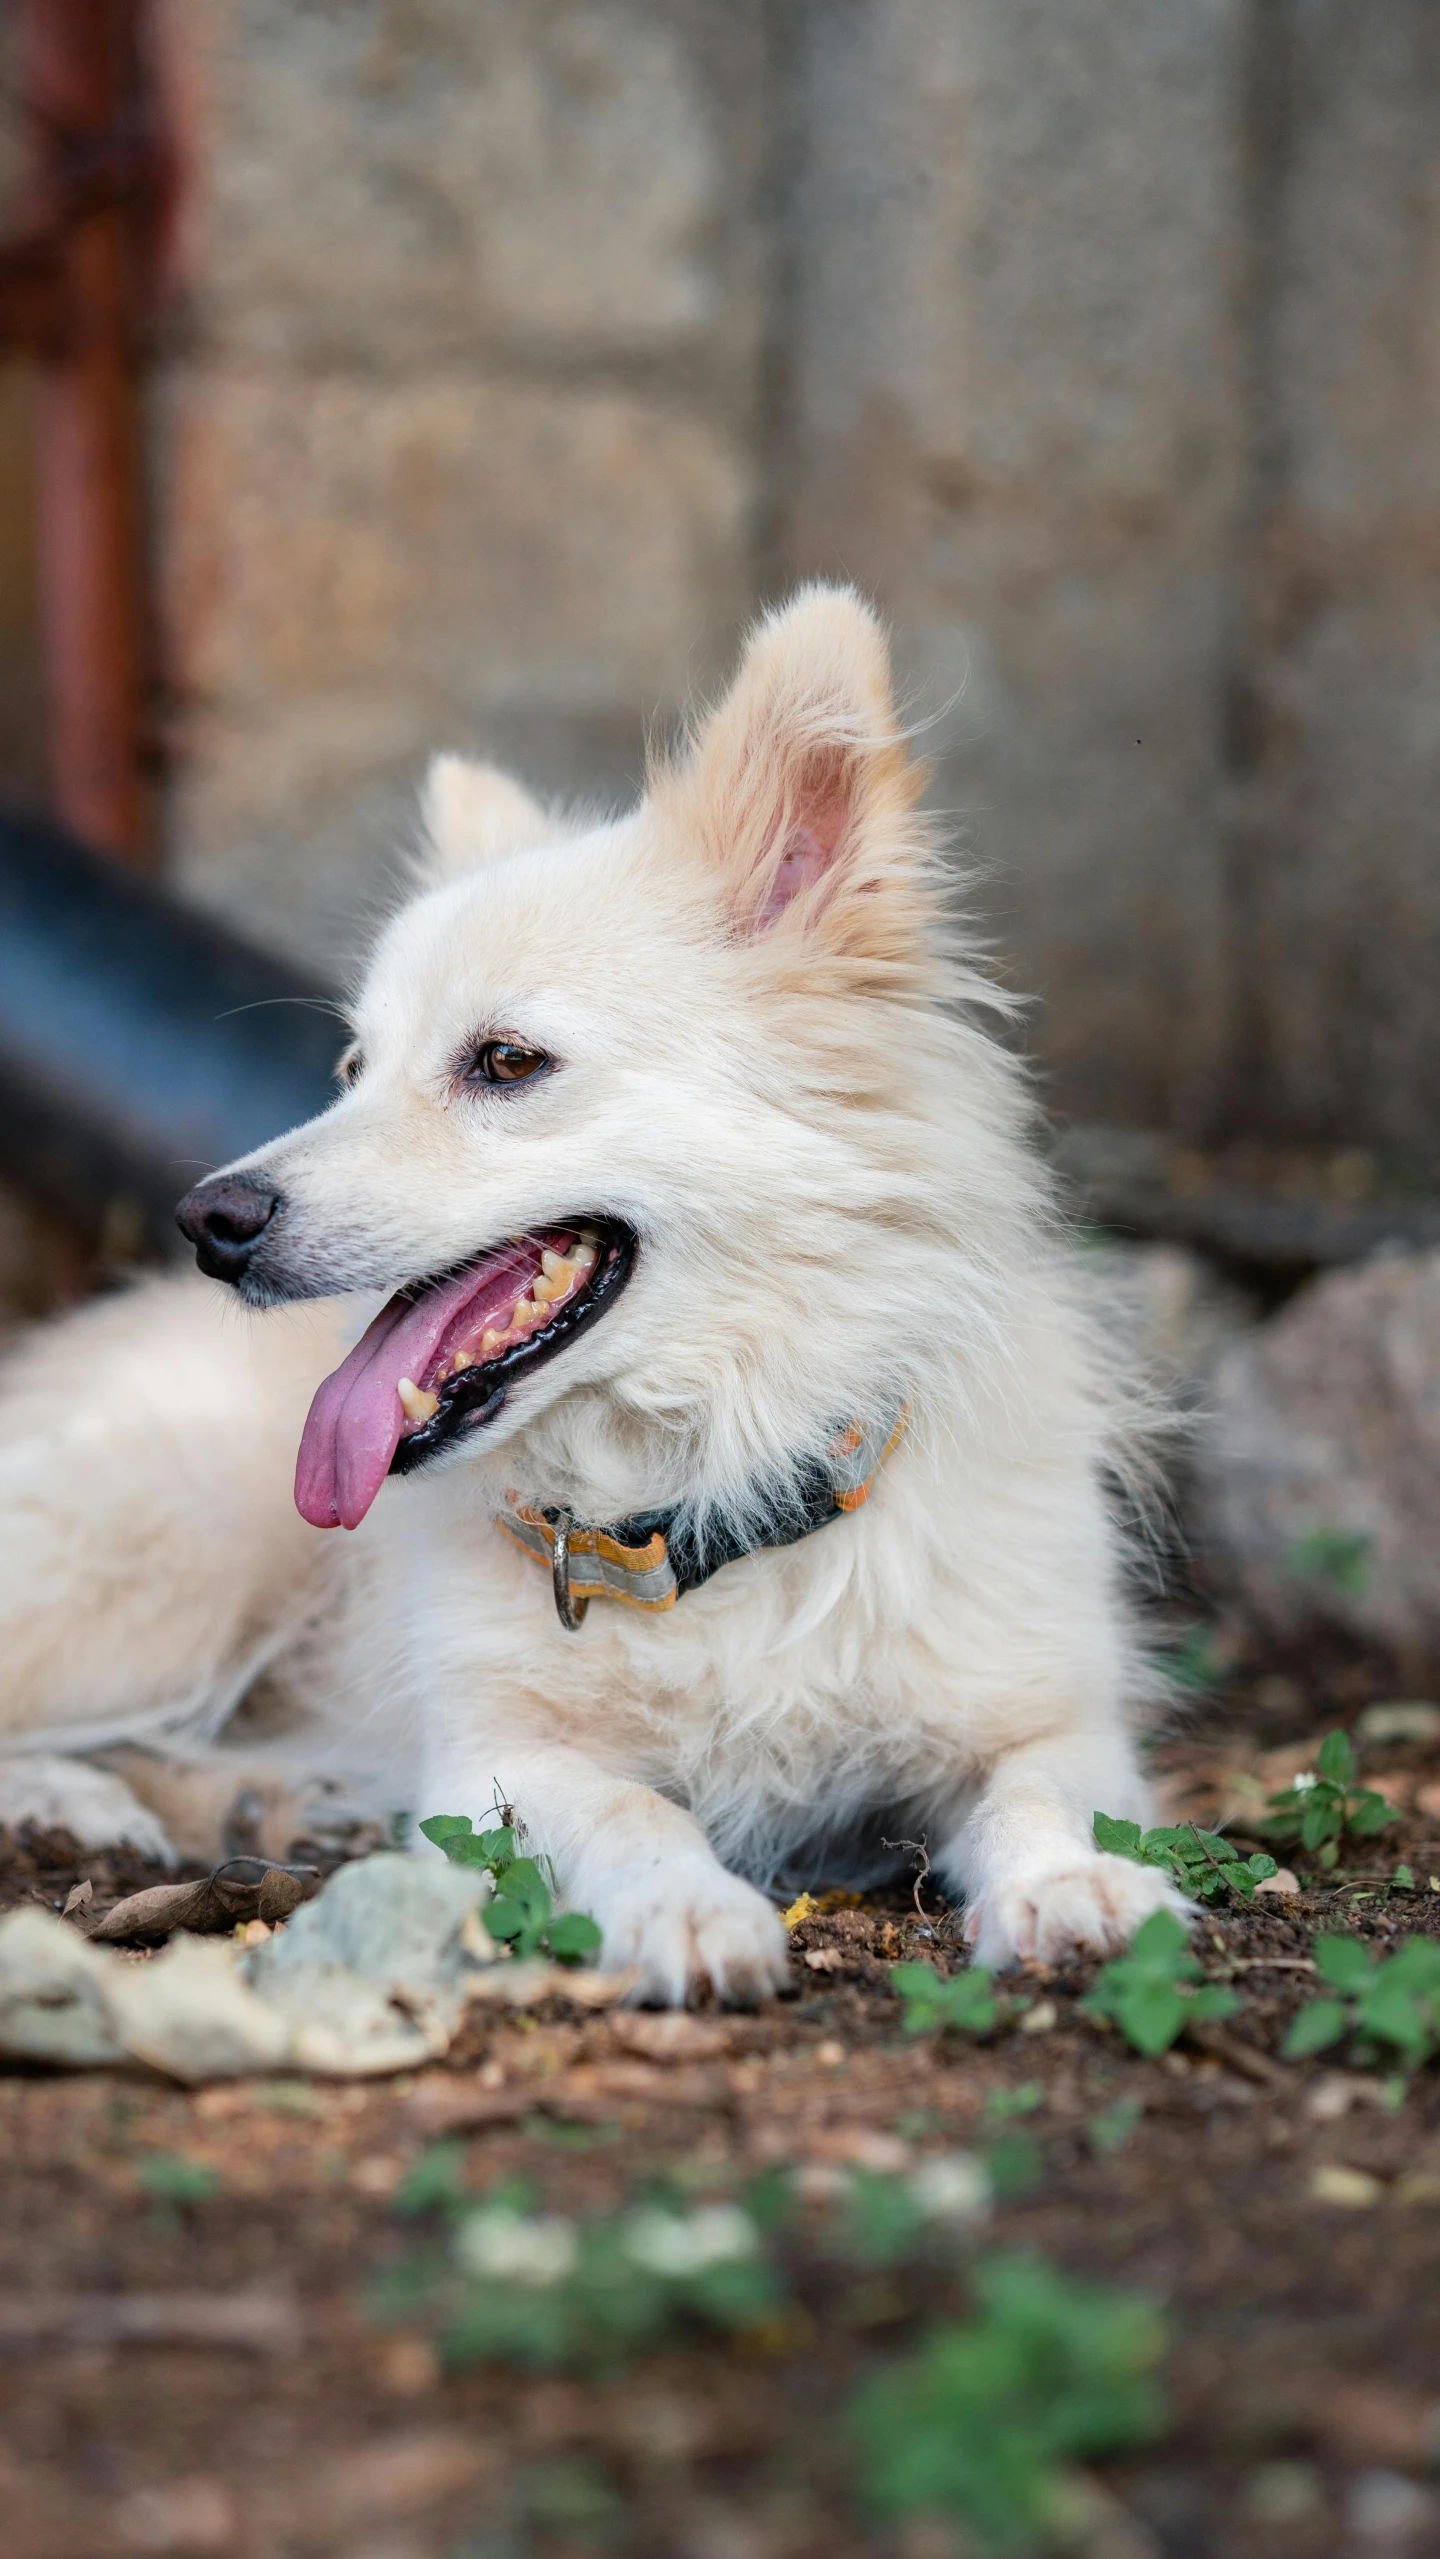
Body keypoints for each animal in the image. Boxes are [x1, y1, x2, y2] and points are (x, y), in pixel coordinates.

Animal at [0, 593, 1181, 1996]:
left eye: (506, 1061)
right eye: (351, 1069)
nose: (209, 1223)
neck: (706, 1491)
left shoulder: (1048, 1714)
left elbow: (1037, 1798)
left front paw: (1071, 1888)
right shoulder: (505, 1762)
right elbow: (635, 1812)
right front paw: (689, 1910)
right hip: (171, 1569)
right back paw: (87, 1802)